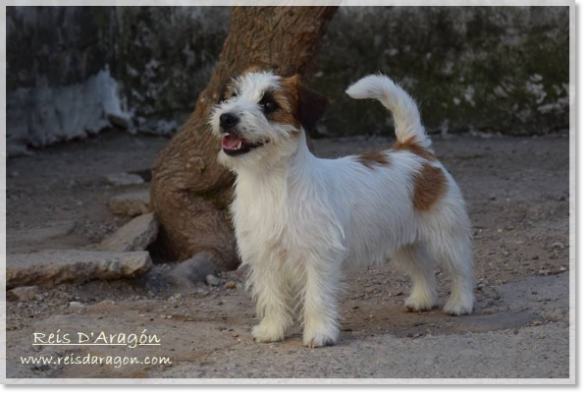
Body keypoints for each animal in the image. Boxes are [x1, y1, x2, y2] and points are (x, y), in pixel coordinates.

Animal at [208, 69, 472, 348]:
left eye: (269, 104)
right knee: (423, 269)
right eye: (232, 96)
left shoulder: (319, 257)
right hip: (403, 244)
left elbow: (316, 297)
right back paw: (422, 299)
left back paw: (461, 303)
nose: (226, 117)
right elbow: (272, 298)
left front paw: (319, 333)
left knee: (461, 270)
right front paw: (272, 330)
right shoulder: (264, 257)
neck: (270, 183)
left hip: (447, 238)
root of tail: (414, 150)